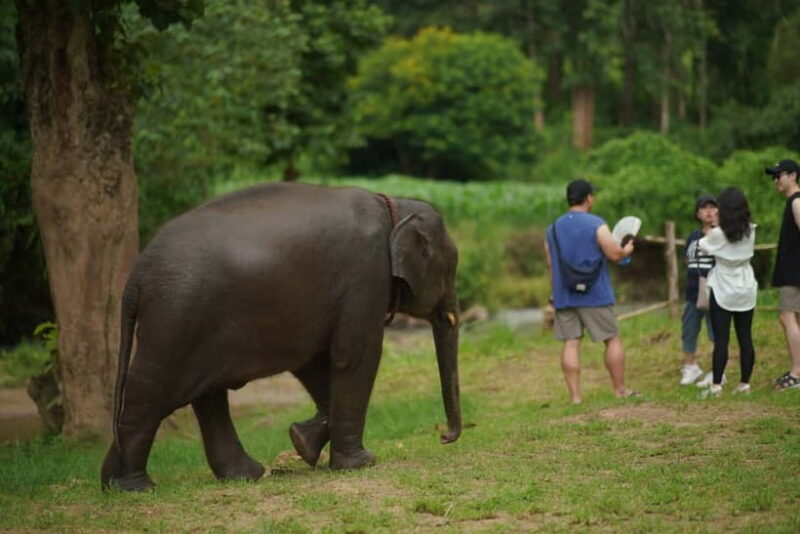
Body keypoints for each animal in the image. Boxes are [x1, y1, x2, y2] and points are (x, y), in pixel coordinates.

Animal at [100, 182, 462, 491]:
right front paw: (362, 463)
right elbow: (354, 356)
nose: (443, 436)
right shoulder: (365, 275)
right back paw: (136, 486)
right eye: (451, 268)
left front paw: (302, 442)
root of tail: (135, 278)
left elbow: (315, 363)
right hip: (174, 320)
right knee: (149, 395)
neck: (392, 207)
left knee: (207, 397)